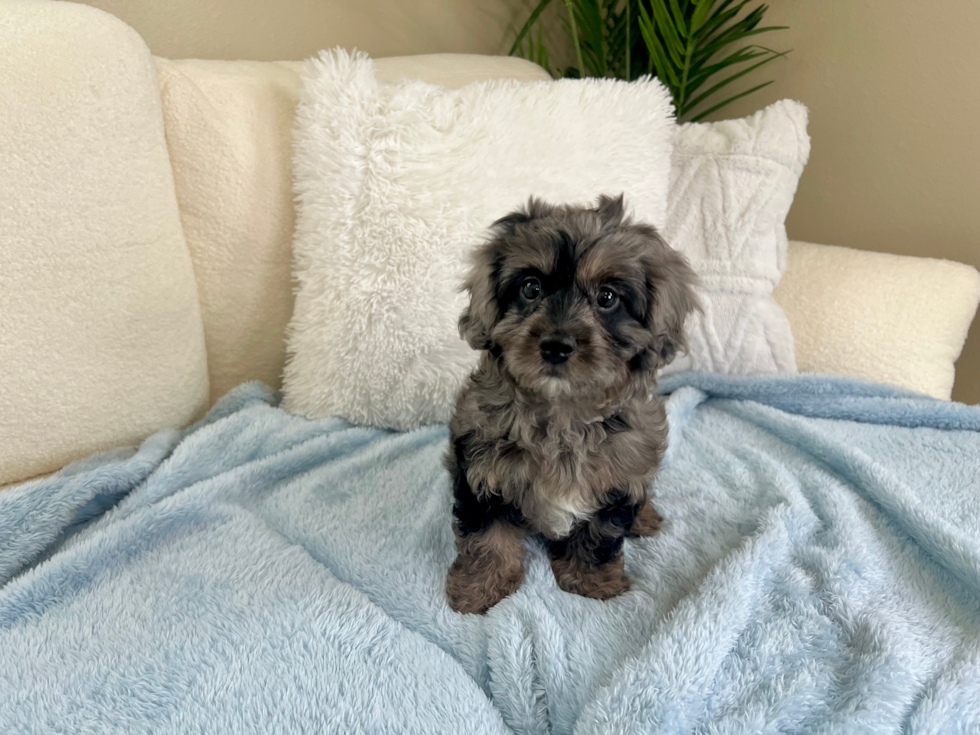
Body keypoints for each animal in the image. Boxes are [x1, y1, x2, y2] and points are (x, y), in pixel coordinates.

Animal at [444, 193, 696, 612]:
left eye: (607, 297)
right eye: (531, 288)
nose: (556, 346)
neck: (561, 412)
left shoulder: (617, 480)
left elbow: (598, 535)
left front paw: (591, 582)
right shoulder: (481, 468)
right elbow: (486, 535)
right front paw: (478, 587)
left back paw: (645, 518)